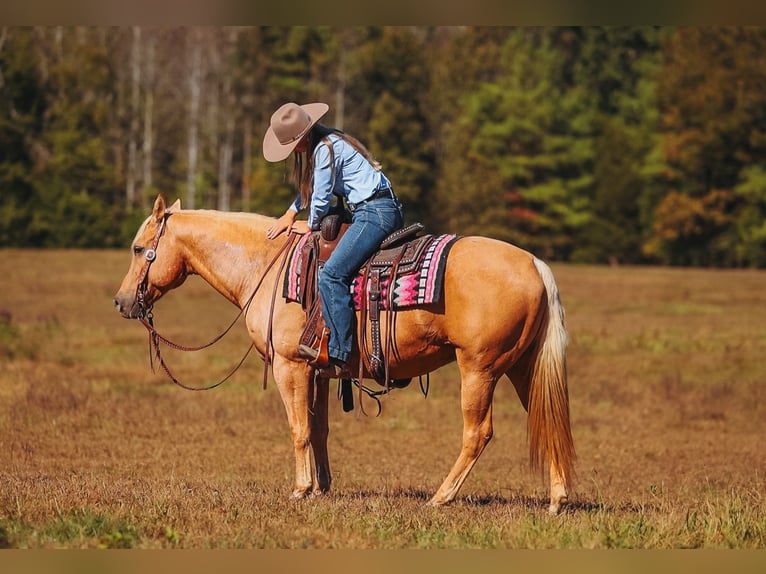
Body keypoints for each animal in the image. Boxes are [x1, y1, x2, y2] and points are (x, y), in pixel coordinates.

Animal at [113, 194, 576, 514]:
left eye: (138, 248)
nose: (121, 302)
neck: (267, 265)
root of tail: (534, 264)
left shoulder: (290, 367)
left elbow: (298, 428)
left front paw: (300, 489)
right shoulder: (318, 371)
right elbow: (319, 430)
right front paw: (322, 487)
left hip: (479, 369)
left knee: (478, 433)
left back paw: (441, 497)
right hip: (522, 367)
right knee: (548, 418)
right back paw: (557, 499)